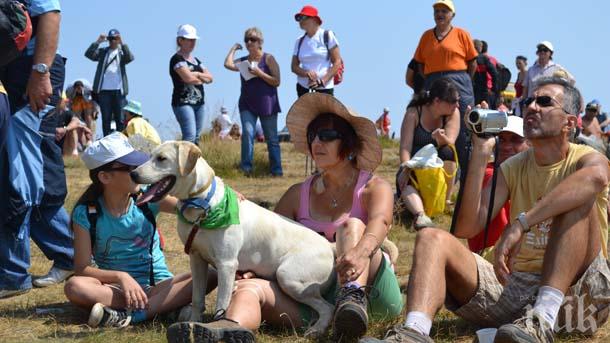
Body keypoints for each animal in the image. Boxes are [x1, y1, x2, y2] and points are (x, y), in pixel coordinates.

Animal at [130, 141, 334, 338]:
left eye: (161, 158)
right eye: (150, 156)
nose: (133, 173)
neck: (202, 205)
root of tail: (331, 247)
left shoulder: (226, 264)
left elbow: (222, 303)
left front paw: (217, 325)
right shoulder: (196, 258)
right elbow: (197, 298)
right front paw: (192, 324)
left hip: (289, 277)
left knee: (328, 307)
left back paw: (316, 330)